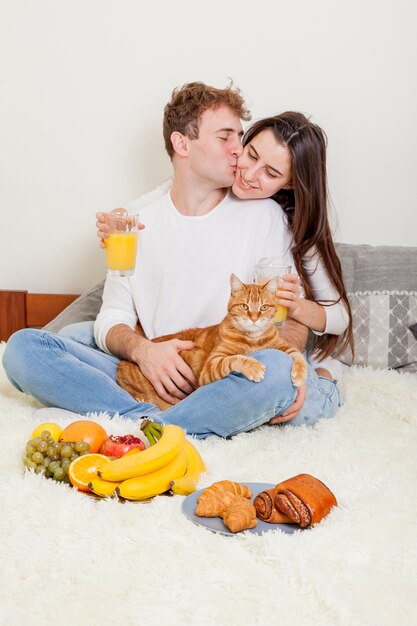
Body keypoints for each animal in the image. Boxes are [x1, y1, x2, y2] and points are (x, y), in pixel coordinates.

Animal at [115, 272, 308, 410]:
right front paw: (253, 365)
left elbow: (298, 355)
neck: (253, 339)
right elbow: (234, 359)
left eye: (264, 307)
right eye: (244, 306)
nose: (254, 319)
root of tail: (122, 363)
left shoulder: (281, 345)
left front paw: (299, 375)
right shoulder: (211, 366)